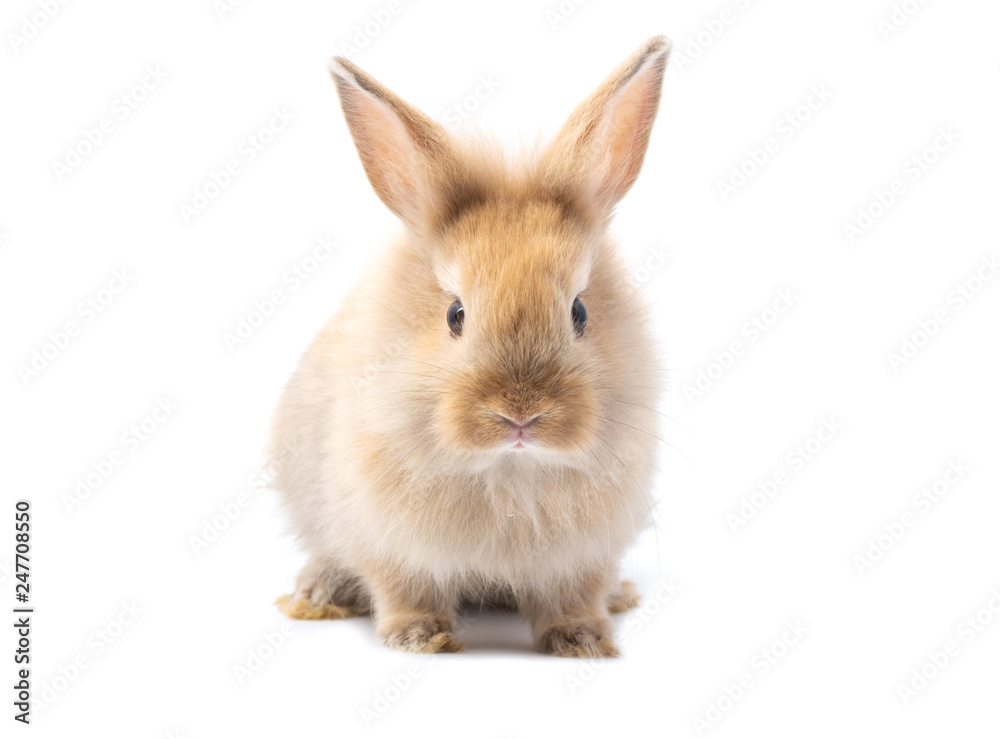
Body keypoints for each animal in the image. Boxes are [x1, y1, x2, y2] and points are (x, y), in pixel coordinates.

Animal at [272, 36, 671, 657]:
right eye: (455, 315)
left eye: (579, 313)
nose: (521, 414)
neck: (509, 469)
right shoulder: (390, 545)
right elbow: (403, 588)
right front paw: (416, 637)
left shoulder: (582, 559)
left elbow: (574, 596)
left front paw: (582, 639)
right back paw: (319, 593)